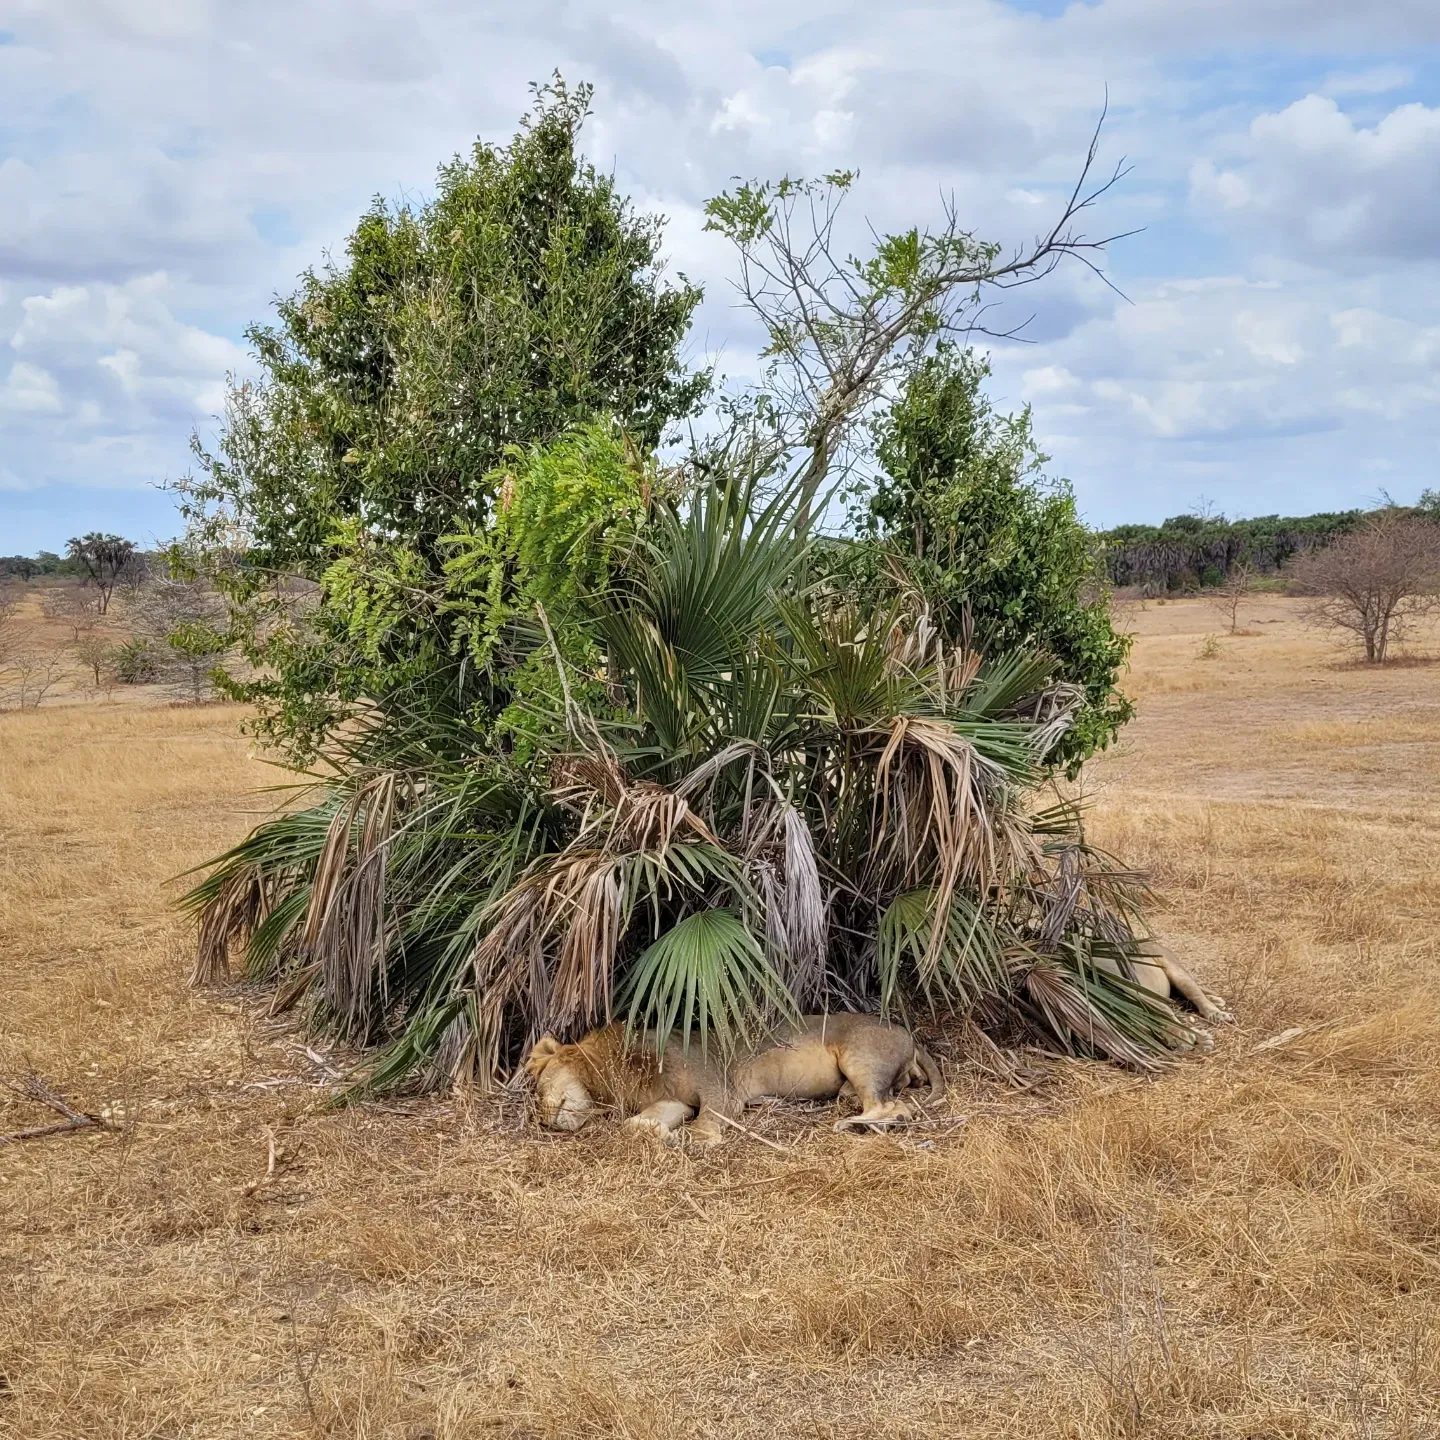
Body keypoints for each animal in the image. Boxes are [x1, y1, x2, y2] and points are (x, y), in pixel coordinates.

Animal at [525, 1012, 943, 1150]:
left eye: (539, 1090)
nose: (542, 1121)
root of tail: (910, 1035)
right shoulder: (674, 1101)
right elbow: (635, 1124)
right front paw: (662, 1134)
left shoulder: (719, 1089)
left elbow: (706, 1122)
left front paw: (691, 1140)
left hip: (860, 1054)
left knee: (893, 1107)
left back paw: (850, 1124)